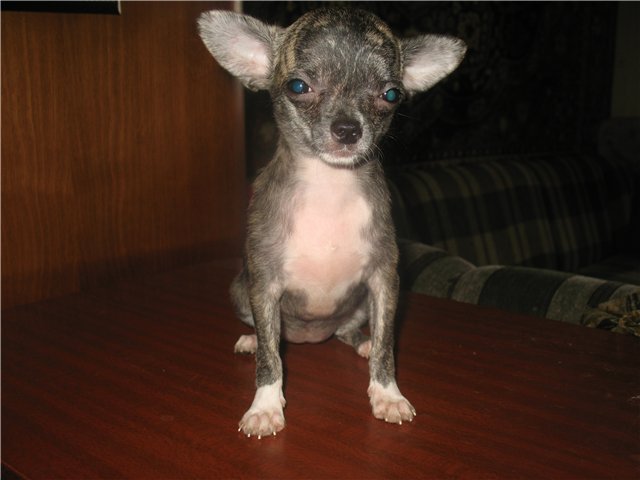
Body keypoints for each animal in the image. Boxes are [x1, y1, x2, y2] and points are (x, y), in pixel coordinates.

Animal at [198, 6, 466, 439]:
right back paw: (252, 340)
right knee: (270, 337)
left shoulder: (384, 283)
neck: (329, 185)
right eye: (298, 86)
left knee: (348, 331)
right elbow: (271, 359)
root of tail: (310, 339)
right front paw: (265, 405)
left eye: (391, 95)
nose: (348, 129)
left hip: (358, 306)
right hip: (241, 292)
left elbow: (388, 345)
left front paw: (387, 393)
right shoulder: (264, 287)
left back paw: (362, 342)